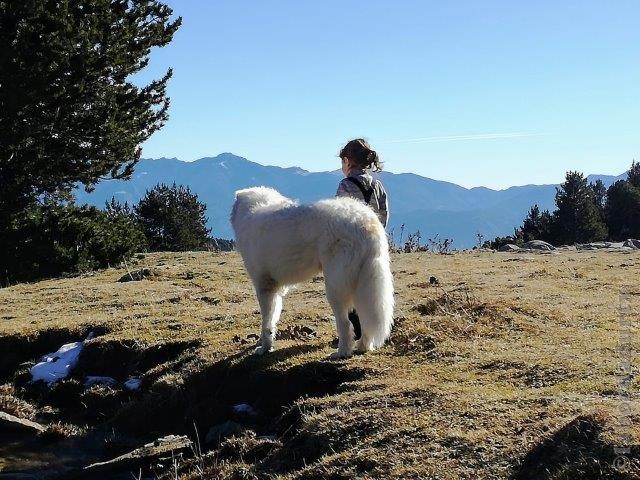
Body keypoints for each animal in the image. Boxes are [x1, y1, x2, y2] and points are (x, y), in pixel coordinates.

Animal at [231, 186, 396, 358]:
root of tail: (366, 220)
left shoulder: (264, 287)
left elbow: (266, 322)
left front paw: (264, 348)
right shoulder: (275, 289)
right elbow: (273, 319)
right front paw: (262, 342)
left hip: (335, 287)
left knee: (345, 323)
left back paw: (342, 352)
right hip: (362, 285)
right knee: (364, 319)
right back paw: (363, 346)